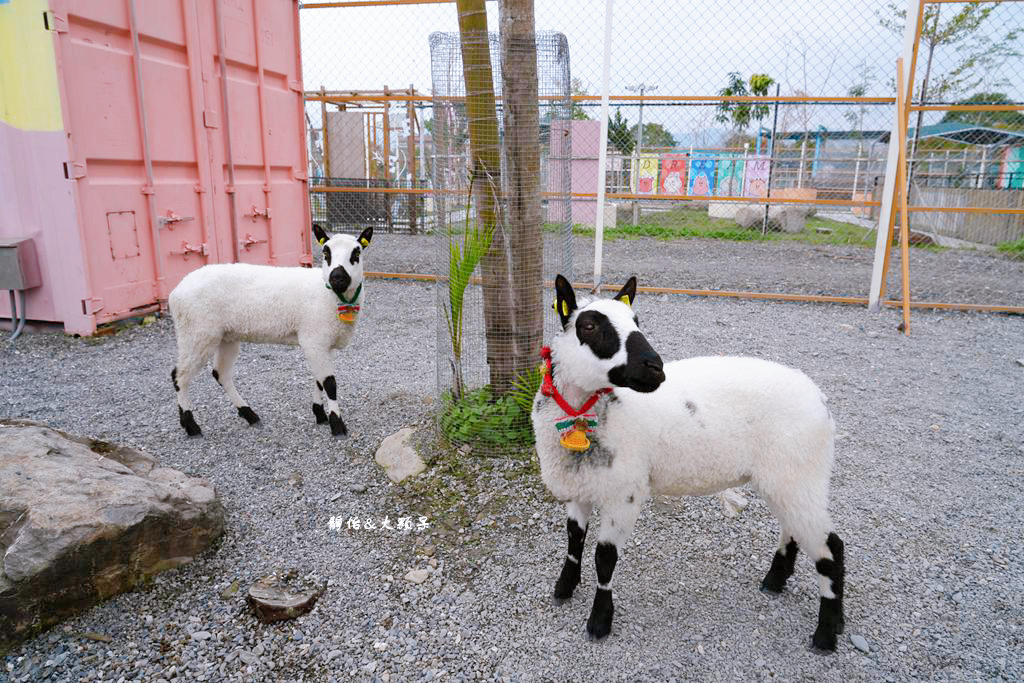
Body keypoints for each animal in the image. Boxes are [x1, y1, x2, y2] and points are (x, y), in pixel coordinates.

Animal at [167, 224, 372, 438]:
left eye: (356, 253)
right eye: (326, 253)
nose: (337, 277)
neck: (328, 294)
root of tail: (175, 292)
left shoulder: (322, 342)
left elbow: (319, 380)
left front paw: (320, 415)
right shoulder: (314, 340)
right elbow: (330, 383)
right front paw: (337, 425)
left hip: (225, 336)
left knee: (220, 373)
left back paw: (249, 414)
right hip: (196, 333)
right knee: (180, 375)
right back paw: (191, 425)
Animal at [532, 276, 843, 651]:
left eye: (637, 321)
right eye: (589, 326)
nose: (656, 368)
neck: (583, 416)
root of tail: (819, 397)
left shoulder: (625, 493)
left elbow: (604, 559)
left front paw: (599, 621)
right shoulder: (581, 486)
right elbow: (574, 540)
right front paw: (564, 587)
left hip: (801, 472)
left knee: (831, 547)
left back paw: (827, 632)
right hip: (786, 477)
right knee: (793, 527)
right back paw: (776, 580)